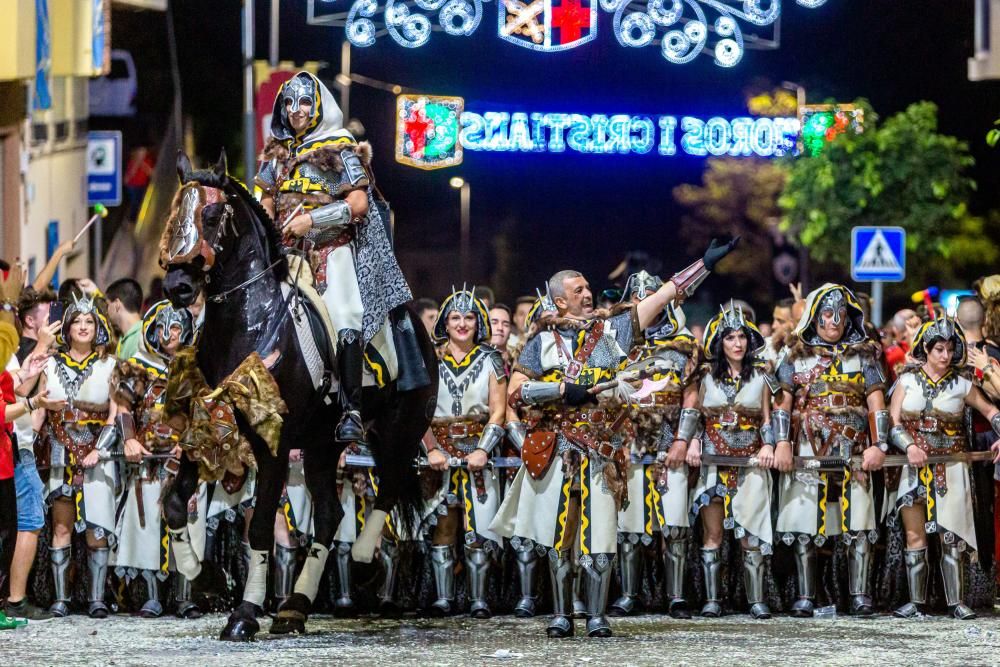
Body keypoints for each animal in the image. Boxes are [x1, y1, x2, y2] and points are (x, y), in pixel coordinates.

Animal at [160, 151, 434, 640]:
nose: (178, 287)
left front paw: (244, 614)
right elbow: (175, 502)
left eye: (211, 214)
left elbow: (259, 529)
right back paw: (295, 607)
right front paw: (198, 571)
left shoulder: (274, 441)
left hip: (397, 431)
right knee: (329, 515)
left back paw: (360, 558)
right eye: (176, 214)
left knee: (388, 487)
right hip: (322, 446)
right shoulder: (206, 427)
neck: (252, 324)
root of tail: (419, 329)